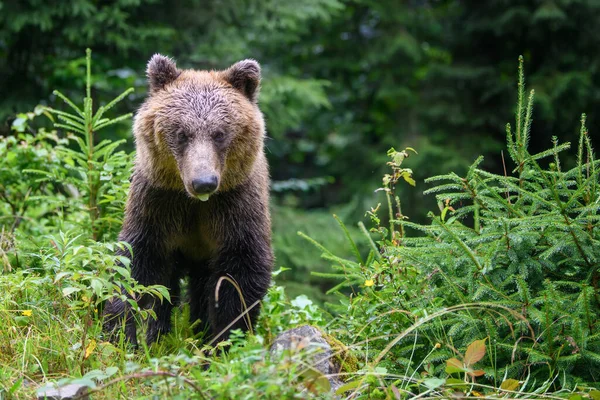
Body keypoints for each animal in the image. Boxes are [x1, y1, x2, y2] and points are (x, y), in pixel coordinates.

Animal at [102, 54, 272, 346]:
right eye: (182, 133)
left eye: (219, 133)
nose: (203, 181)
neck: (197, 204)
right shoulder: (158, 203)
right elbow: (137, 265)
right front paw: (121, 332)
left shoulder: (236, 206)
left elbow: (240, 275)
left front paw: (224, 340)